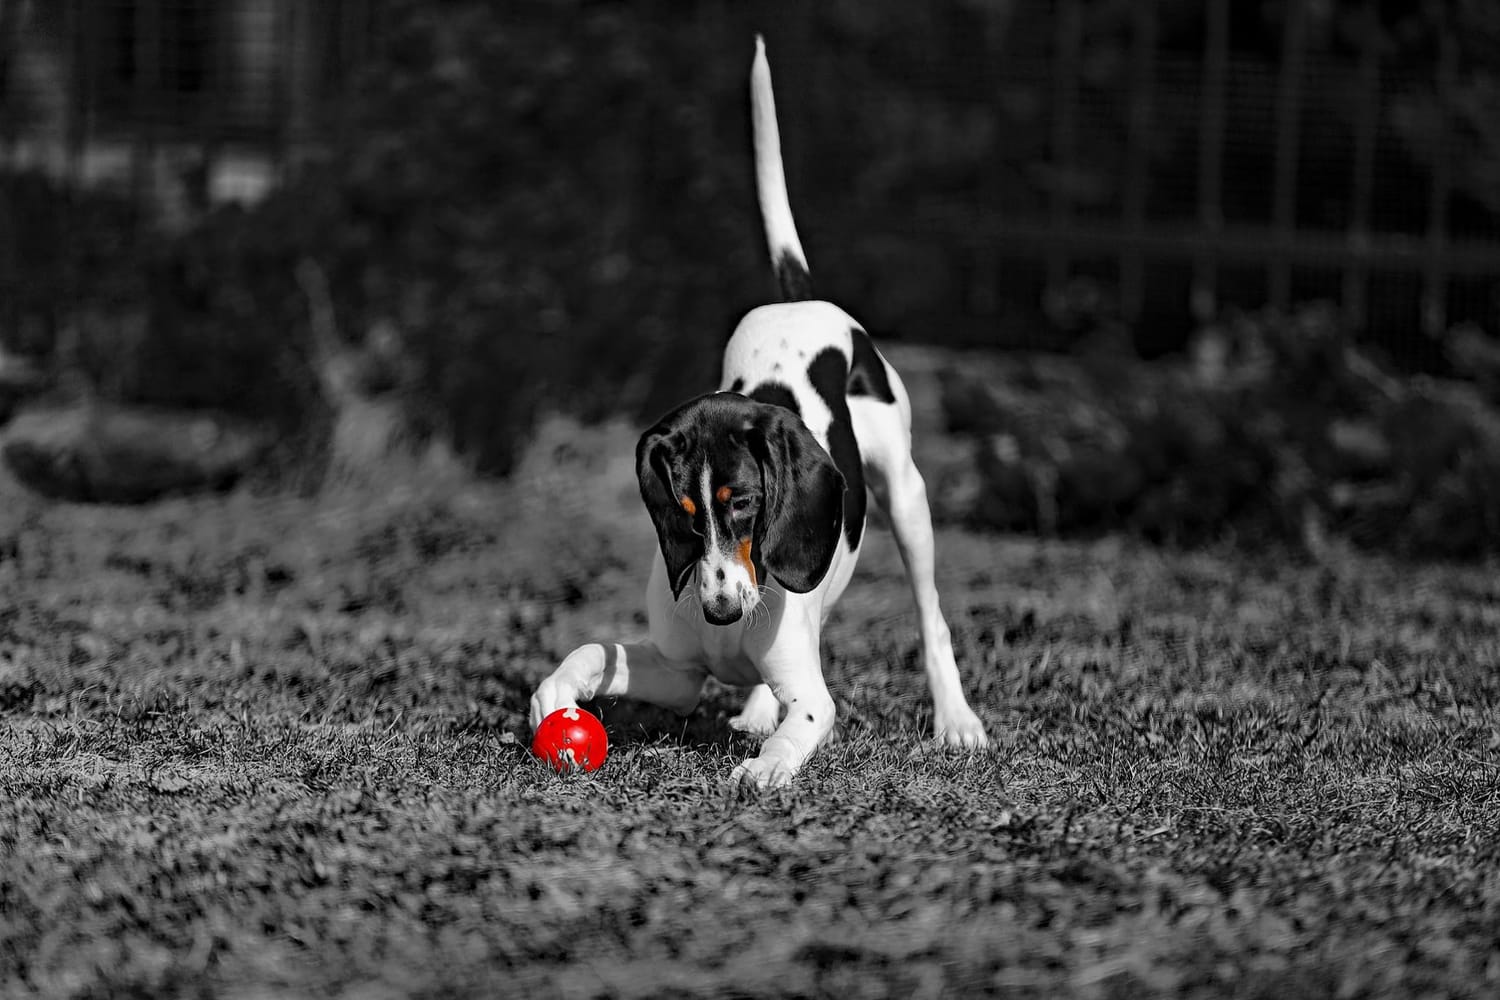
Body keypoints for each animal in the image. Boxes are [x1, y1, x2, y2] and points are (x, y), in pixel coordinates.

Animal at [534, 33, 990, 791]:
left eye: (744, 504)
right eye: (685, 515)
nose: (720, 612)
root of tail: (797, 297)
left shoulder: (811, 695)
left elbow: (804, 721)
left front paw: (766, 767)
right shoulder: (678, 672)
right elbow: (593, 652)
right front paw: (554, 696)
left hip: (908, 496)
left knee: (933, 620)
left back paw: (956, 720)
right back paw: (752, 707)